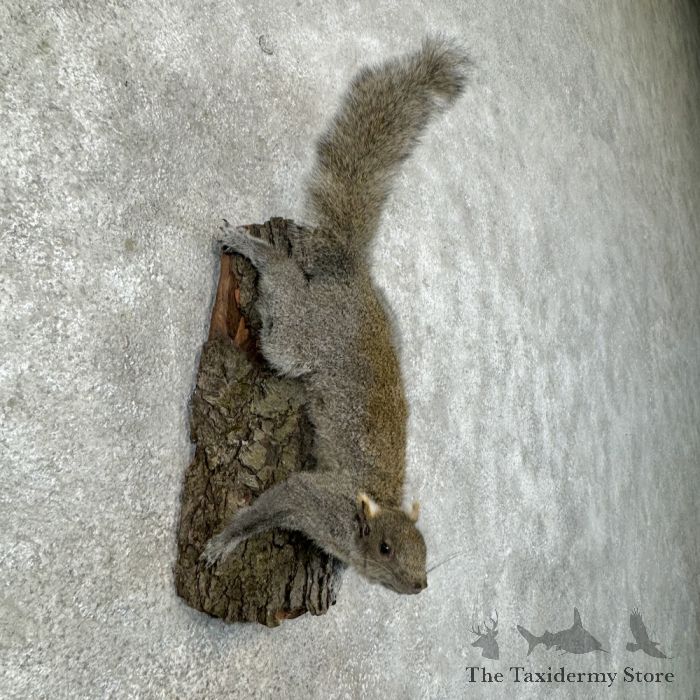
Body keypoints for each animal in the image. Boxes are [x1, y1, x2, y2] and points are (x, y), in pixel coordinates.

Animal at [201, 37, 470, 595]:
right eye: (385, 547)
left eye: (426, 552)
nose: (419, 586)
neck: (363, 511)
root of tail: (352, 276)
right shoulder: (316, 499)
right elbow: (272, 504)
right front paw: (225, 542)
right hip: (304, 334)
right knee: (284, 294)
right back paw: (254, 249)